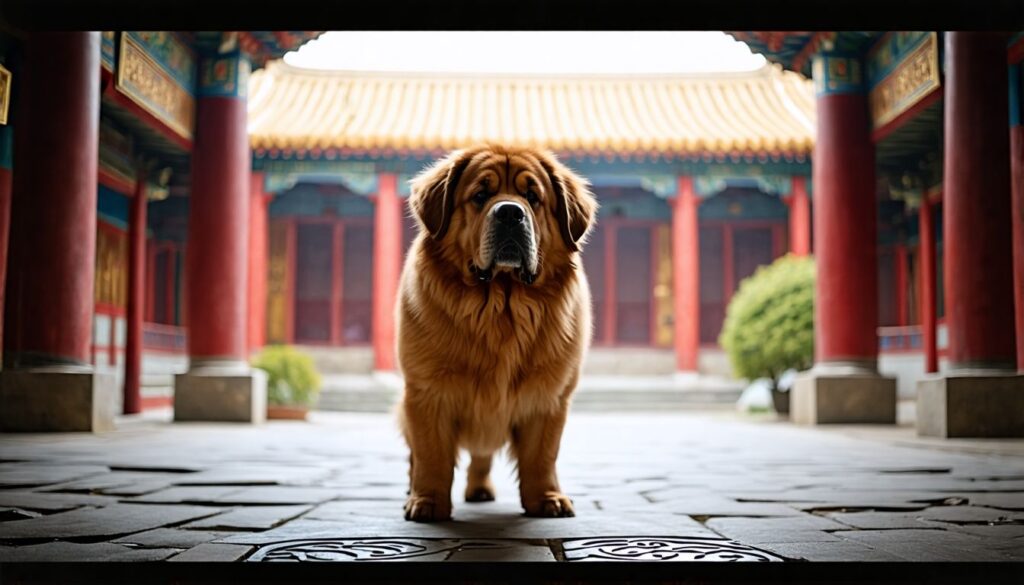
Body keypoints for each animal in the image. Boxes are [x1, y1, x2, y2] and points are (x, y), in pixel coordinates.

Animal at [393, 144, 598, 524]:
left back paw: (480, 490)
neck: (500, 309)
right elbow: (430, 455)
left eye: (532, 197)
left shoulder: (549, 398)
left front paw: (547, 498)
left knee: (482, 457)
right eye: (480, 195)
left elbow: (542, 456)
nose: (510, 213)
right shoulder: (426, 393)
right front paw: (427, 501)